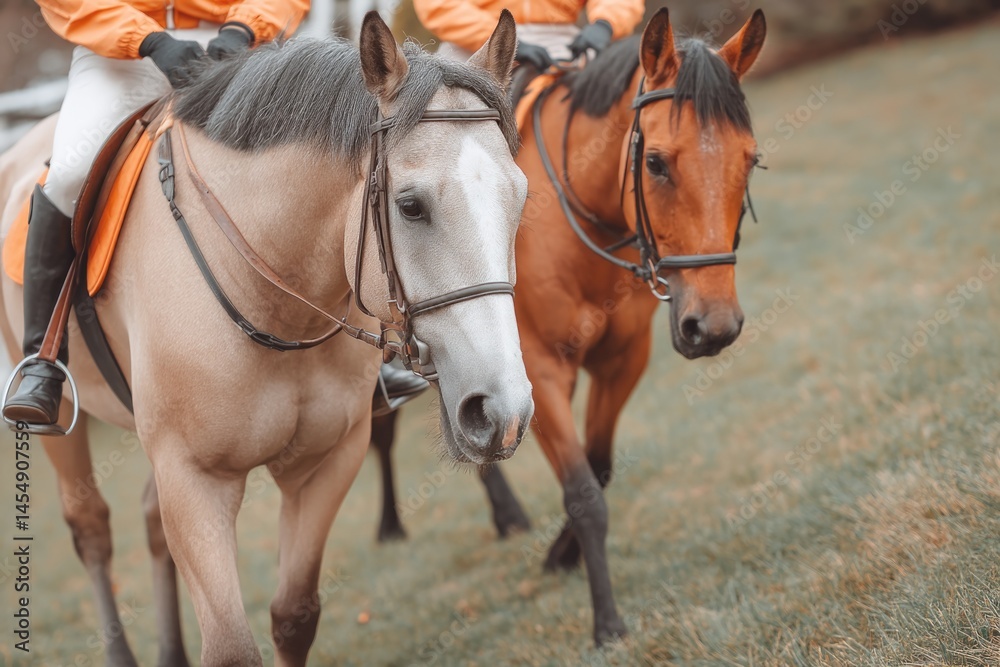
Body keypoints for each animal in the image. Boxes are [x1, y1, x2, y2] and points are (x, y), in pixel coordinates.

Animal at [0, 12, 533, 666]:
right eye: (410, 206)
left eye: (520, 198)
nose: (502, 411)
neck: (272, 295)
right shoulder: (195, 481)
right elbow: (232, 647)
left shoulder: (325, 463)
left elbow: (294, 617)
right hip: (64, 426)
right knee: (92, 529)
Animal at [370, 8, 768, 645]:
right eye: (655, 162)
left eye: (750, 160)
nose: (714, 326)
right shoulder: (540, 371)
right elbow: (583, 491)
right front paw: (606, 620)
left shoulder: (622, 359)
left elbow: (597, 468)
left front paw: (562, 554)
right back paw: (390, 524)